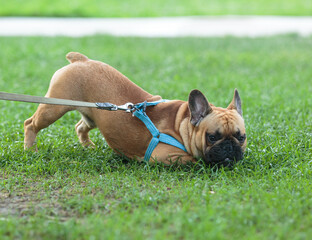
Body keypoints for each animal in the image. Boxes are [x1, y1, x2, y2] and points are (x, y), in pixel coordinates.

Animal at [24, 52, 246, 165]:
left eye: (241, 137)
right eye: (212, 137)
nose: (230, 146)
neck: (183, 125)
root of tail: (81, 60)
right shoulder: (167, 156)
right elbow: (194, 161)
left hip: (93, 114)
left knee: (80, 126)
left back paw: (89, 147)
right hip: (54, 108)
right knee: (30, 123)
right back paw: (30, 149)